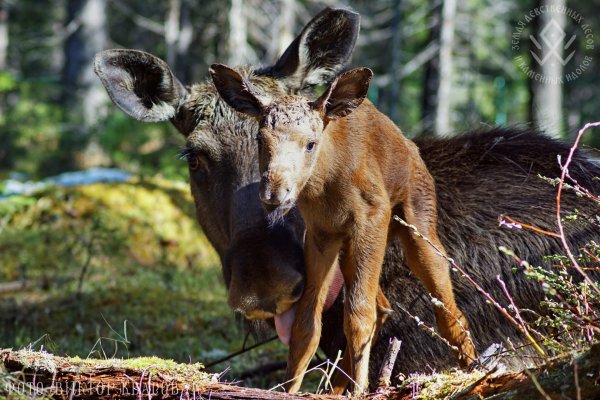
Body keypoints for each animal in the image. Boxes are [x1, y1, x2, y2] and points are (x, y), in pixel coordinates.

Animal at [211, 66, 478, 394]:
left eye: (310, 143)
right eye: (261, 139)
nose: (274, 192)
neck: (326, 186)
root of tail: (411, 147)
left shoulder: (372, 219)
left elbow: (358, 315)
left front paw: (361, 390)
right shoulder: (321, 234)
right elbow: (306, 324)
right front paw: (290, 389)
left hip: (417, 224)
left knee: (445, 304)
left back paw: (473, 370)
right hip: (349, 248)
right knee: (384, 306)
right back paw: (337, 387)